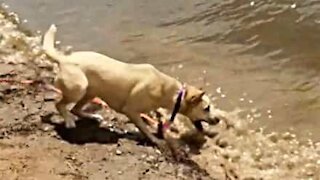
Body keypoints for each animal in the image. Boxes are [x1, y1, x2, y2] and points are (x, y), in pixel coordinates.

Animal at [42, 24, 218, 150]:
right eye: (207, 108)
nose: (218, 119)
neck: (172, 93)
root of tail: (64, 59)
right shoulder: (131, 111)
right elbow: (144, 128)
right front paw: (155, 139)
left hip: (91, 92)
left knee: (75, 109)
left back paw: (92, 116)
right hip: (79, 88)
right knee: (59, 104)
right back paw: (69, 120)